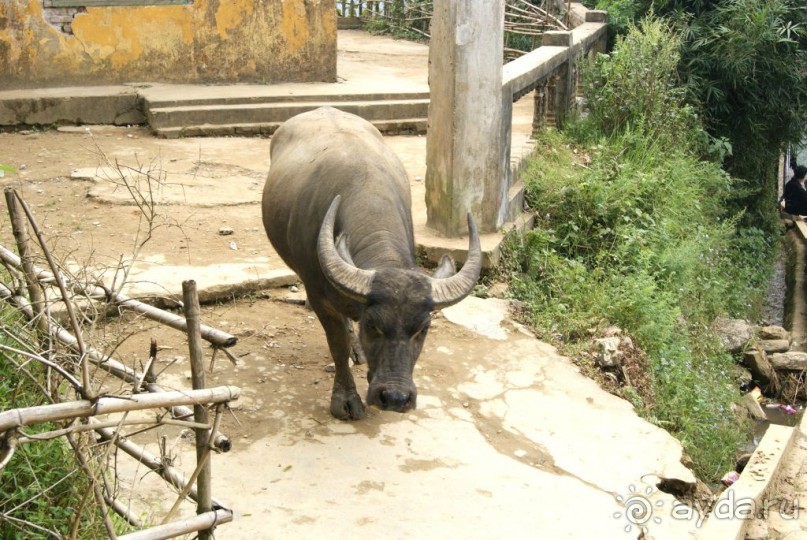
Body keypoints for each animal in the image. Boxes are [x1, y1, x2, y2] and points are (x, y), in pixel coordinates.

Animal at [264, 107, 480, 420]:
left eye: (422, 329)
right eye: (372, 325)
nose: (396, 397)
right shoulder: (318, 296)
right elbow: (337, 345)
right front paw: (345, 399)